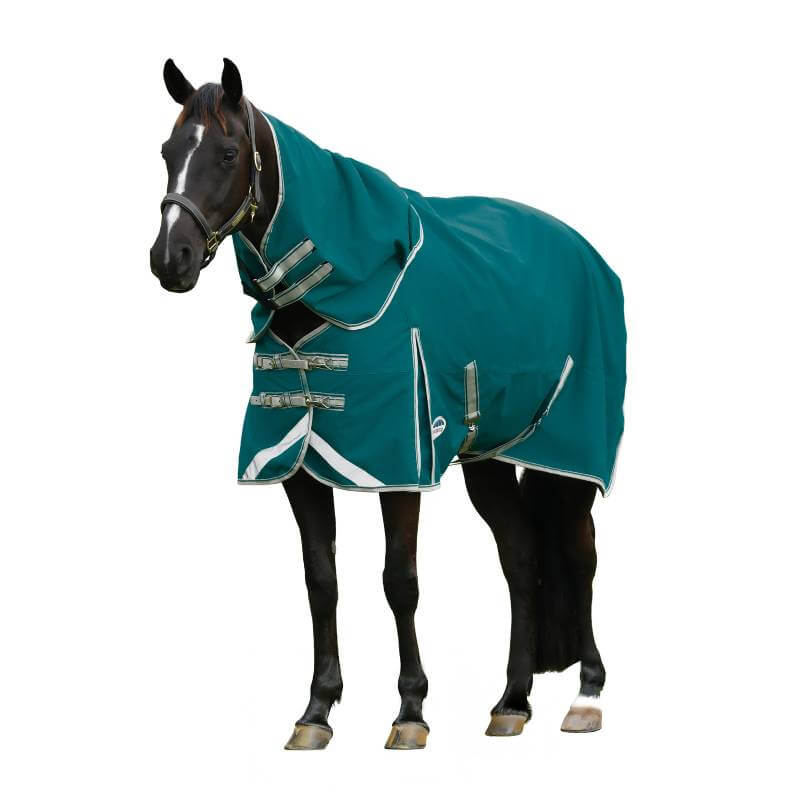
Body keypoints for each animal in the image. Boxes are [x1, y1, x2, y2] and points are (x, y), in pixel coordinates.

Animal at [150, 58, 623, 750]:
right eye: (167, 151)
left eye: (228, 153)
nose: (170, 259)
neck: (334, 292)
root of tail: (590, 256)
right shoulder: (298, 467)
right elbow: (321, 581)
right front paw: (316, 711)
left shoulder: (398, 466)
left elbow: (399, 581)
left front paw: (410, 711)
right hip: (488, 457)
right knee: (521, 556)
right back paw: (511, 702)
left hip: (568, 454)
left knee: (580, 554)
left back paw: (586, 696)